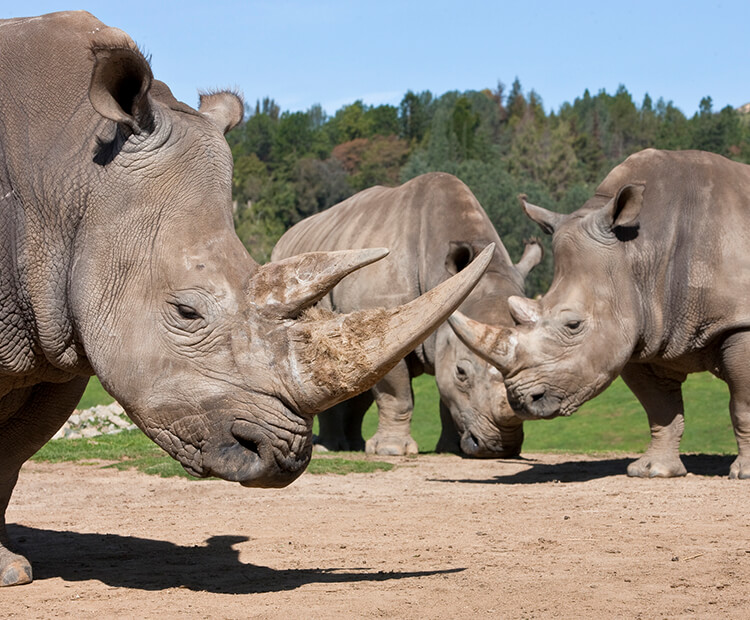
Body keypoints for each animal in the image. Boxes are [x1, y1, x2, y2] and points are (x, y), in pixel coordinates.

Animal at [0, 13, 494, 588]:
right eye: (186, 313)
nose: (284, 457)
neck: (68, 168)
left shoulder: (57, 336)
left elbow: (10, 454)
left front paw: (9, 571)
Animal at [274, 172, 544, 458]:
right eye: (461, 372)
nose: (499, 447)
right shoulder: (387, 334)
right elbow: (397, 394)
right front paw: (391, 451)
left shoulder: (445, 329)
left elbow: (445, 397)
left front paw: (447, 450)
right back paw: (330, 448)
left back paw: (353, 446)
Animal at [450, 149, 748, 480]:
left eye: (573, 324)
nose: (522, 401)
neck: (641, 250)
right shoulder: (643, 330)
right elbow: (660, 407)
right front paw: (651, 471)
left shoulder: (738, 322)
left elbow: (742, 404)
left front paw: (743, 473)